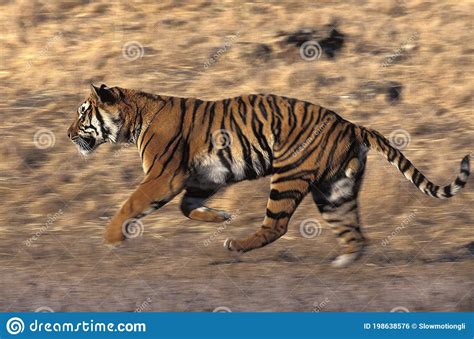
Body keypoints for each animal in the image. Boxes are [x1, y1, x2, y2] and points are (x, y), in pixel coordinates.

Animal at [66, 85, 470, 268]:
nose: (68, 134)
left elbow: (130, 203)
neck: (133, 120)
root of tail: (351, 124)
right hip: (335, 189)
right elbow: (186, 207)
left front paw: (111, 238)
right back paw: (345, 261)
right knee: (353, 230)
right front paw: (219, 217)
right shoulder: (204, 177)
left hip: (289, 176)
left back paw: (236, 245)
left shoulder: (163, 177)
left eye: (83, 112)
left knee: (276, 225)